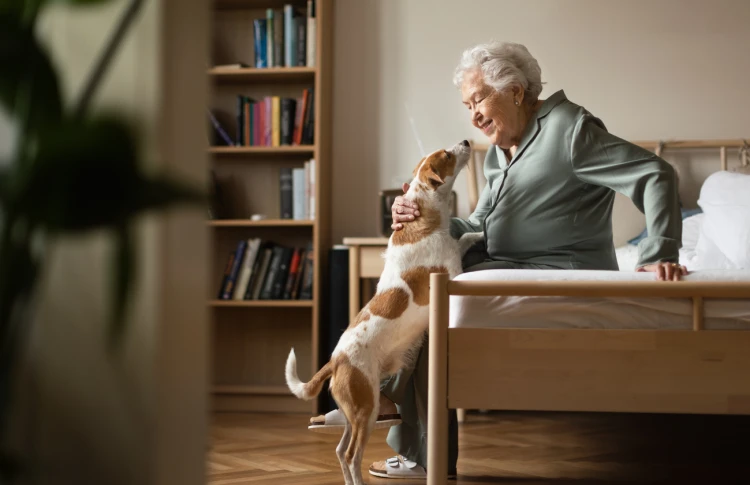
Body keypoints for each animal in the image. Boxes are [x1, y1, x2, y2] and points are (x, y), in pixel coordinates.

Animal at [284, 140, 484, 484]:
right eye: (446, 154)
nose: (467, 141)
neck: (423, 217)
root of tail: (336, 360)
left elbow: (462, 239)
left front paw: (475, 234)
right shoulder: (452, 273)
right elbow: (459, 252)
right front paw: (478, 235)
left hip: (354, 413)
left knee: (340, 451)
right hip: (366, 409)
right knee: (351, 455)